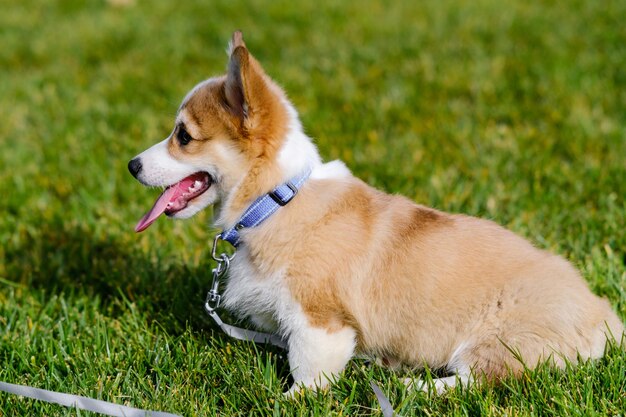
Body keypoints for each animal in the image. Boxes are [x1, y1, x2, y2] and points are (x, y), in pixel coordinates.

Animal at [127, 30, 620, 392]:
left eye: (183, 136)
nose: (131, 165)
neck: (276, 201)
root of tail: (605, 317)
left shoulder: (319, 320)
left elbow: (308, 370)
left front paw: (290, 400)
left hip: (500, 339)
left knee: (480, 379)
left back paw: (416, 388)